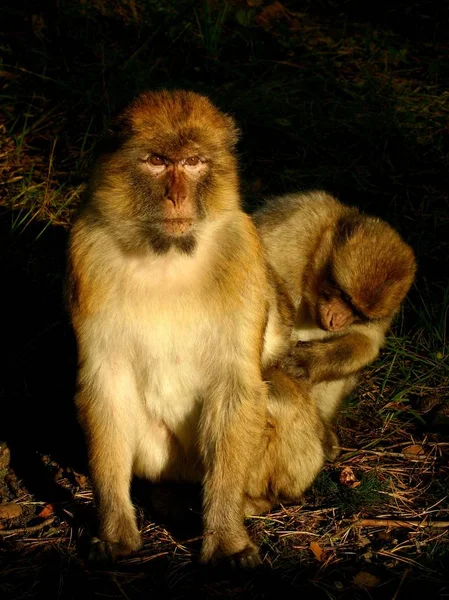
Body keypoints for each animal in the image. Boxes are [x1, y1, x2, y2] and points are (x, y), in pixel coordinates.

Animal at [66, 88, 328, 568]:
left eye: (193, 163)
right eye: (156, 161)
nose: (176, 196)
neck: (166, 252)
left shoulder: (241, 250)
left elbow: (236, 382)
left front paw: (226, 537)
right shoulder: (85, 251)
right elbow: (106, 382)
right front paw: (115, 530)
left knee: (275, 395)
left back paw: (248, 504)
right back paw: (166, 497)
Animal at [252, 190, 416, 458]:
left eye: (356, 311)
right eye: (345, 297)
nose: (337, 320)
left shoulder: (388, 310)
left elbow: (365, 343)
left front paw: (305, 361)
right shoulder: (295, 229)